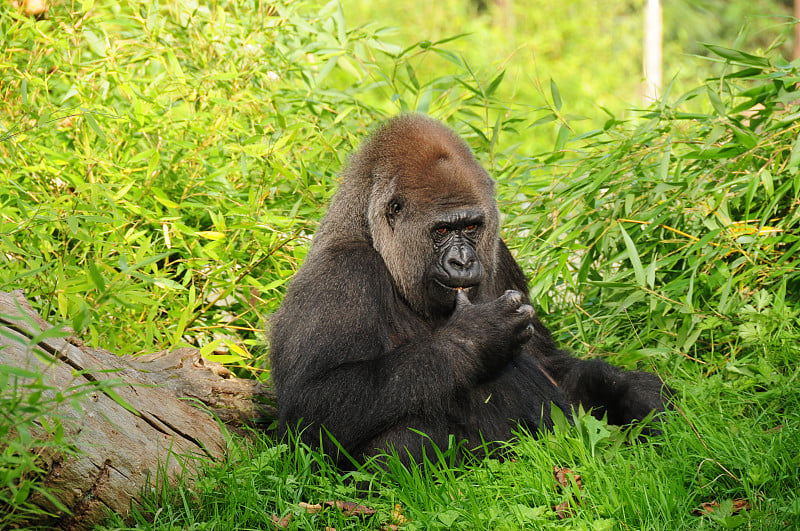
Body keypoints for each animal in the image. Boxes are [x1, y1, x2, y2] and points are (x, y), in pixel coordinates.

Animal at [272, 114, 672, 468]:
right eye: (442, 230)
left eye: (471, 226)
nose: (463, 261)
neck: (371, 235)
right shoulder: (342, 273)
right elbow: (315, 405)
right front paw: (476, 337)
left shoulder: (499, 252)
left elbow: (551, 364)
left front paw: (632, 393)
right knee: (404, 438)